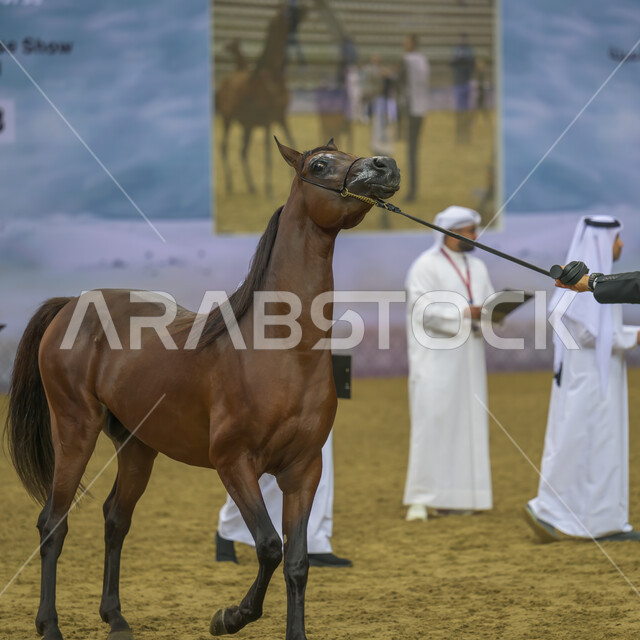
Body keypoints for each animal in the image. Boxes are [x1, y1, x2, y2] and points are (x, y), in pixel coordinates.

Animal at [5, 139, 400, 640]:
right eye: (319, 164)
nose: (385, 166)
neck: (279, 349)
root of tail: (72, 303)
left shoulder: (303, 470)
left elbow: (297, 563)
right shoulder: (234, 463)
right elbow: (268, 546)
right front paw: (228, 617)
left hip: (137, 446)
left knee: (116, 519)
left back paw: (116, 618)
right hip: (74, 431)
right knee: (53, 524)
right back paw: (50, 625)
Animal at [216, 4, 304, 198]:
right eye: (286, 11)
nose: (304, 10)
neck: (274, 78)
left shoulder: (281, 117)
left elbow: (292, 143)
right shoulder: (268, 121)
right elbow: (269, 154)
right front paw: (269, 189)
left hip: (247, 126)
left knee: (242, 151)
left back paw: (251, 187)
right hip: (227, 119)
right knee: (224, 147)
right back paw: (231, 185)